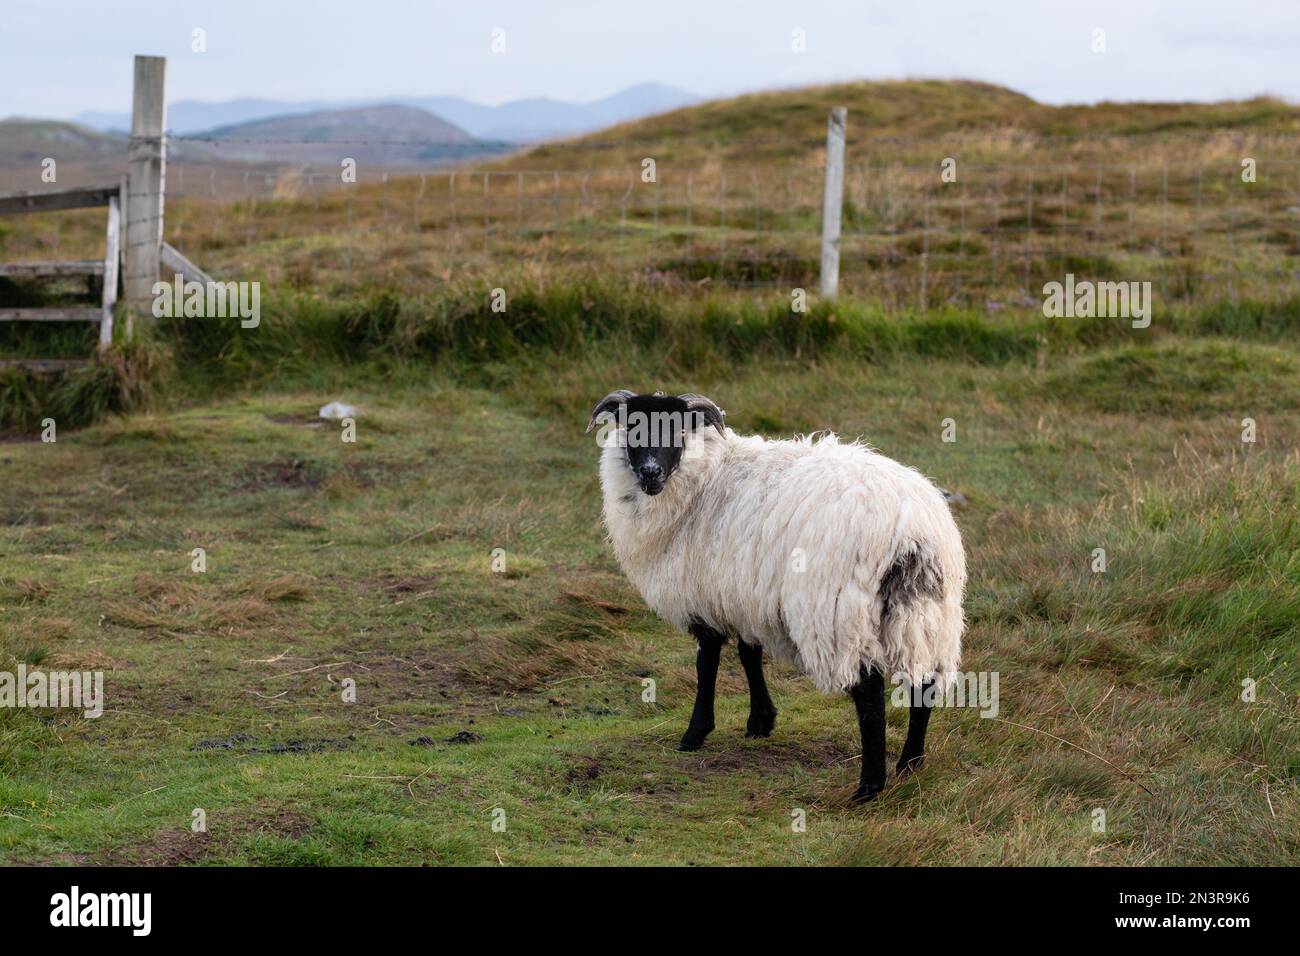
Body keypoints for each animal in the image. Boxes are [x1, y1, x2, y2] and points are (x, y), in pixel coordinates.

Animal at [587, 389, 966, 802]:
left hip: (838, 613)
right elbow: (749, 653)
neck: (705, 477)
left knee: (869, 695)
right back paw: (910, 764)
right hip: (928, 613)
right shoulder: (744, 593)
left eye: (678, 430)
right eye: (632, 427)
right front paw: (760, 721)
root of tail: (911, 530)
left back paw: (868, 787)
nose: (650, 473)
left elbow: (707, 664)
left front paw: (695, 733)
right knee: (923, 684)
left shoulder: (704, 596)